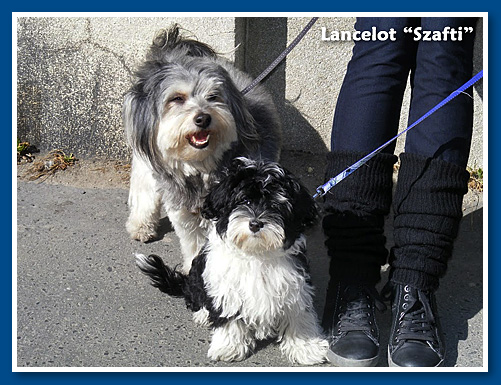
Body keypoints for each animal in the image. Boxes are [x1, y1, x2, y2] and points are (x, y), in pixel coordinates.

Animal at [122, 25, 282, 272]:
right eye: (177, 98)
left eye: (213, 97)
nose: (203, 118)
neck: (201, 166)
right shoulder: (182, 209)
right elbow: (193, 240)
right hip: (146, 163)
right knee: (144, 192)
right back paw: (141, 226)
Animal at [135, 158, 328, 364]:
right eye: (244, 201)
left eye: (276, 205)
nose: (255, 224)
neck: (256, 253)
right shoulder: (226, 288)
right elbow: (228, 315)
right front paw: (228, 347)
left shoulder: (295, 286)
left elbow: (299, 315)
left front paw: (306, 347)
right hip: (198, 276)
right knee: (195, 295)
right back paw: (203, 314)